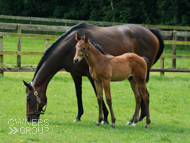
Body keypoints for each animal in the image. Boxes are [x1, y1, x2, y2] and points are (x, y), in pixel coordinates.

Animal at [23, 22, 163, 123]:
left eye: (28, 98)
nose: (30, 119)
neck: (68, 48)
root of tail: (151, 31)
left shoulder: (92, 76)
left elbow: (98, 94)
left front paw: (105, 118)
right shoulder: (75, 74)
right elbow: (78, 94)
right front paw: (78, 116)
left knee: (142, 92)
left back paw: (137, 118)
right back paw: (139, 117)